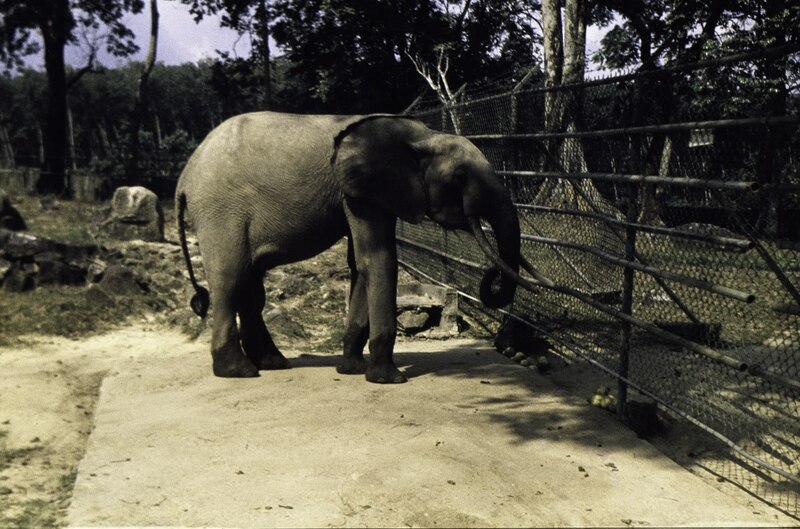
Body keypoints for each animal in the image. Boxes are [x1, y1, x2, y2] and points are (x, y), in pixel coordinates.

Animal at [177, 111, 544, 384]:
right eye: (460, 178)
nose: (491, 275)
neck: (422, 136)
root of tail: (184, 178)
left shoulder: (370, 191)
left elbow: (360, 264)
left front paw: (351, 369)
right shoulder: (363, 191)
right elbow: (380, 260)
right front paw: (388, 378)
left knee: (251, 288)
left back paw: (272, 363)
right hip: (220, 211)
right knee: (231, 278)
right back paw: (238, 372)